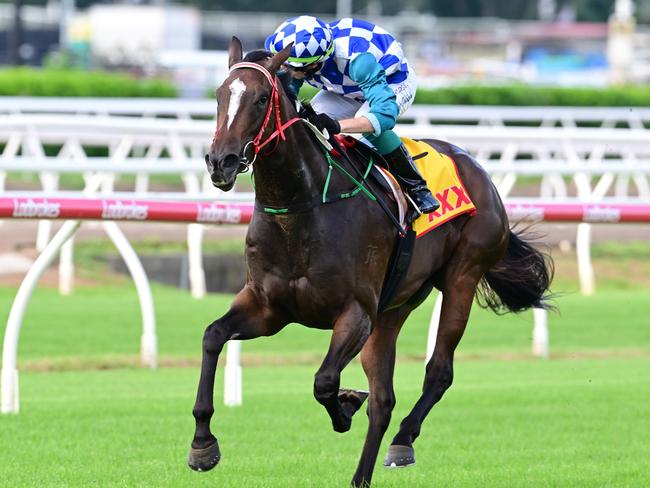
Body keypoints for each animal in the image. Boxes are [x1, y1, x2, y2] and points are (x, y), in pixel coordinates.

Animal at [187, 38, 552, 488]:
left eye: (259, 99)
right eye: (220, 95)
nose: (220, 161)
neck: (301, 206)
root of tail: (477, 168)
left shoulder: (355, 312)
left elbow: (324, 381)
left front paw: (344, 407)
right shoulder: (268, 307)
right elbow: (213, 336)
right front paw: (202, 444)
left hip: (462, 277)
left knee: (439, 371)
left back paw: (403, 440)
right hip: (393, 309)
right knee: (383, 400)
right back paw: (363, 472)